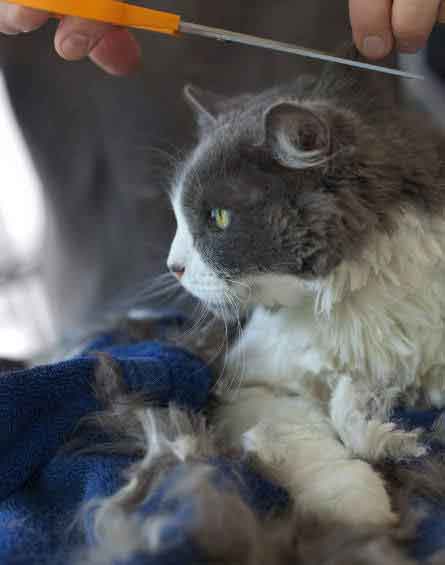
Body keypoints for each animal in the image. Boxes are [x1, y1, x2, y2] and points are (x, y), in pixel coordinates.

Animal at [165, 45, 444, 528]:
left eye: (218, 218)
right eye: (179, 214)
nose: (173, 266)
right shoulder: (251, 386)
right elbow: (313, 444)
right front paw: (365, 518)